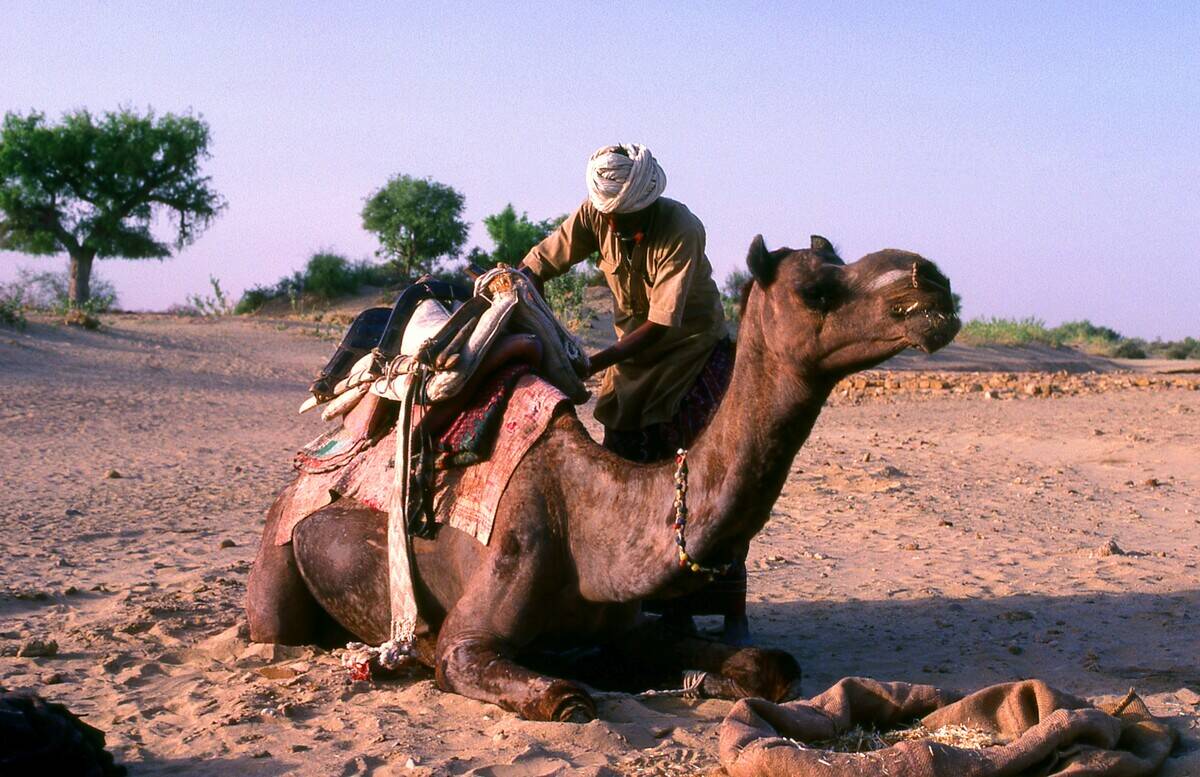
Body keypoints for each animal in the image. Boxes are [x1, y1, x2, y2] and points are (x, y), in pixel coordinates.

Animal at [247, 234, 960, 722]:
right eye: (817, 291)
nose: (933, 282)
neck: (587, 518)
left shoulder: (625, 624)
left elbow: (774, 666)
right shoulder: (472, 634)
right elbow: (565, 698)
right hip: (275, 567)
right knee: (271, 631)